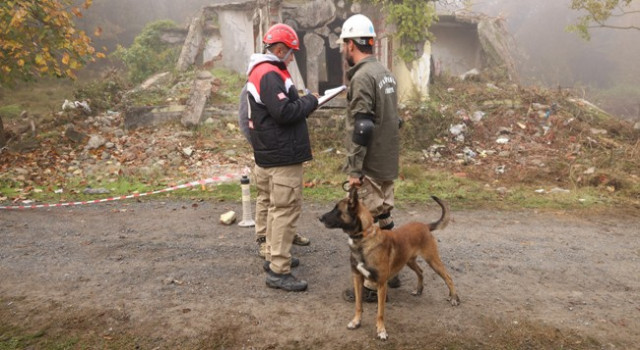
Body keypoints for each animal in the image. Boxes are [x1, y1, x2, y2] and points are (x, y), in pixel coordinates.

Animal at [320, 187, 460, 340]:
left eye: (337, 210)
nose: (320, 218)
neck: (364, 238)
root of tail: (425, 226)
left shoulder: (381, 284)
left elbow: (380, 312)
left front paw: (381, 330)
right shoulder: (357, 278)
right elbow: (358, 304)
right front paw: (356, 321)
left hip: (432, 260)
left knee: (448, 277)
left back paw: (454, 297)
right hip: (408, 260)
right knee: (421, 272)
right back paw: (419, 289)